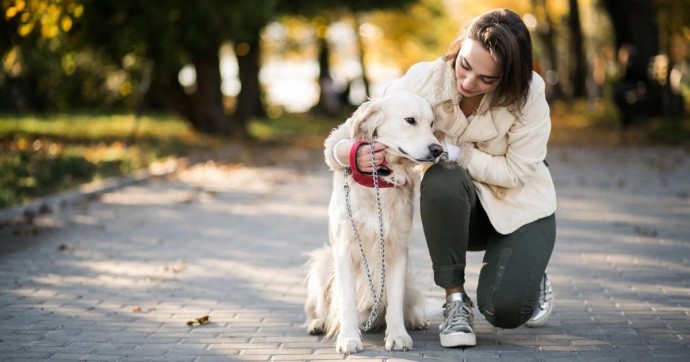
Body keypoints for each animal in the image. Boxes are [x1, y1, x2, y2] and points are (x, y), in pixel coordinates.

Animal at [304, 91, 444, 354]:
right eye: (410, 120)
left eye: (432, 124)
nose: (437, 149)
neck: (378, 179)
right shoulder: (345, 249)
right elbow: (347, 300)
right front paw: (348, 338)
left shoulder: (397, 248)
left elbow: (396, 298)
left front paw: (398, 335)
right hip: (322, 263)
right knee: (318, 306)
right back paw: (317, 322)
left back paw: (415, 319)